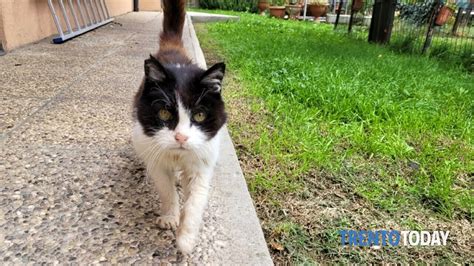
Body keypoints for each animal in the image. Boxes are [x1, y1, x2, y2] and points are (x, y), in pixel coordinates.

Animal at [130, 0, 226, 254]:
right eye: (164, 113)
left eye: (199, 115)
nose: (181, 137)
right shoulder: (156, 161)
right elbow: (167, 190)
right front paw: (170, 218)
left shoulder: (202, 163)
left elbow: (195, 202)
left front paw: (186, 240)